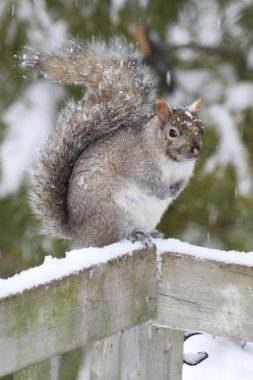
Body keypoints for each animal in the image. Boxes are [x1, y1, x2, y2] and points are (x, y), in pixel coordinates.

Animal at [21, 37, 204, 248]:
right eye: (172, 132)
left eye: (201, 128)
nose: (195, 151)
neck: (173, 161)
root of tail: (79, 234)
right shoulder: (137, 162)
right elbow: (147, 181)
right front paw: (165, 192)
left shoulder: (184, 172)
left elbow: (182, 182)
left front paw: (176, 190)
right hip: (114, 214)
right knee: (112, 238)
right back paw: (135, 235)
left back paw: (150, 233)